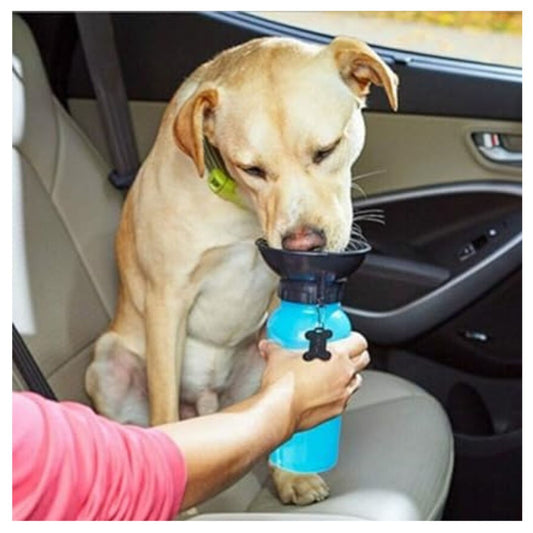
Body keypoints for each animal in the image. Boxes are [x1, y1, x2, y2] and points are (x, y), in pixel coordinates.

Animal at [86, 36, 394, 502]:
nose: (304, 243)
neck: (241, 212)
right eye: (252, 169)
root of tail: (205, 405)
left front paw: (291, 477)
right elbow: (163, 404)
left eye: (326, 150)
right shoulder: (167, 301)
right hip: (106, 364)